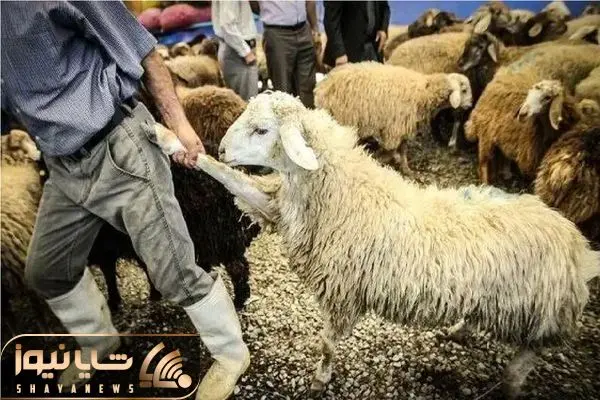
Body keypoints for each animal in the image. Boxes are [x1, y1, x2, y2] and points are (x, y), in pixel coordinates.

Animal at [201, 91, 600, 398]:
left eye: (262, 130)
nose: (221, 149)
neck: (343, 190)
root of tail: (576, 245)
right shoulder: (278, 209)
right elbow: (236, 182)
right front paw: (194, 154)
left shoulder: (343, 292)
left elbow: (328, 345)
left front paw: (319, 379)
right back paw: (459, 331)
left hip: (540, 314)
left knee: (526, 358)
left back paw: (511, 384)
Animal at [314, 62, 472, 174]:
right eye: (464, 90)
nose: (470, 105)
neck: (423, 92)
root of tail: (322, 86)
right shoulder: (394, 128)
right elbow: (391, 150)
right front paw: (380, 158)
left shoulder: (403, 126)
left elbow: (403, 149)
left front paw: (406, 168)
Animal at [465, 43, 600, 183]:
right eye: (529, 95)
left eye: (547, 97)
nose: (522, 114)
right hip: (486, 135)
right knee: (484, 163)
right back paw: (486, 182)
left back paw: (505, 174)